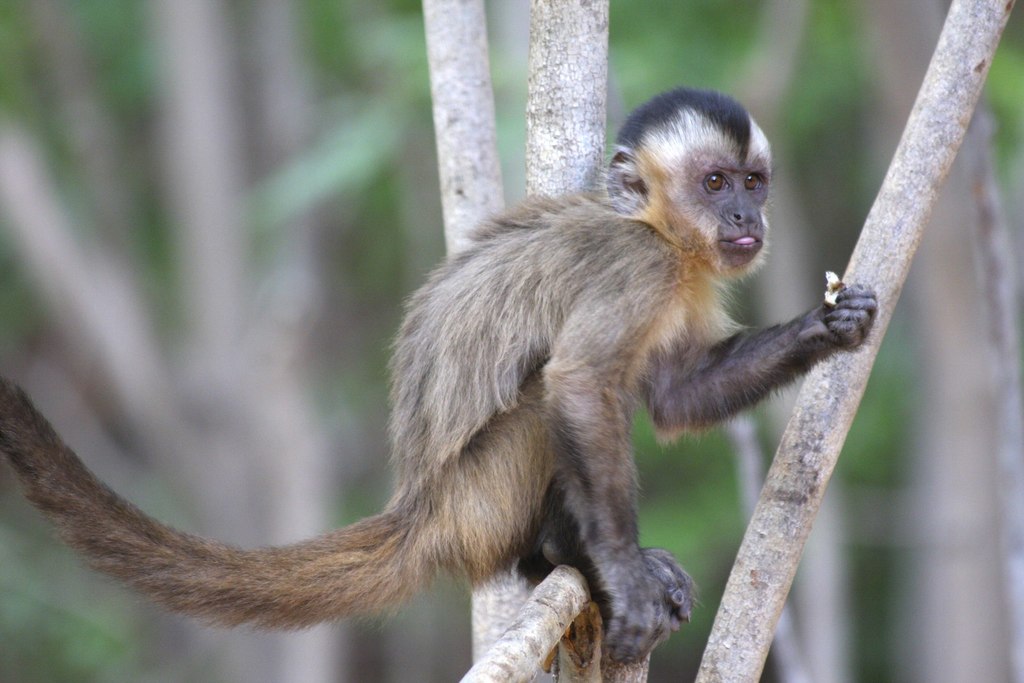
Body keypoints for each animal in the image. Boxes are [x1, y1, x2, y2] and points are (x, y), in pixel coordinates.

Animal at [2, 88, 880, 663]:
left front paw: (829, 325)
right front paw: (622, 572)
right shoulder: (640, 267)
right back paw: (565, 551)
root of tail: (423, 506)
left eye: (752, 183)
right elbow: (579, 383)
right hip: (482, 495)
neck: (655, 227)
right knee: (543, 401)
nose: (744, 219)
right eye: (714, 182)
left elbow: (672, 397)